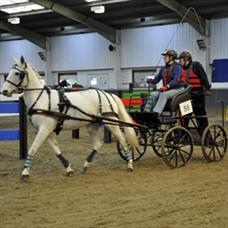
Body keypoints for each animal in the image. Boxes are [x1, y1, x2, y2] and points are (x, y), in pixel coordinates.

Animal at [1, 56, 139, 180]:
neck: (42, 99)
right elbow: (56, 149)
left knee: (122, 139)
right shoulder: (47, 130)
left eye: (17, 73)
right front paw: (68, 168)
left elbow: (33, 148)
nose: (4, 91)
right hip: (92, 124)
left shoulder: (44, 128)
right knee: (98, 143)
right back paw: (86, 165)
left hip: (110, 123)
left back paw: (130, 164)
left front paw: (25, 172)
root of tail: (109, 94)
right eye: (9, 73)